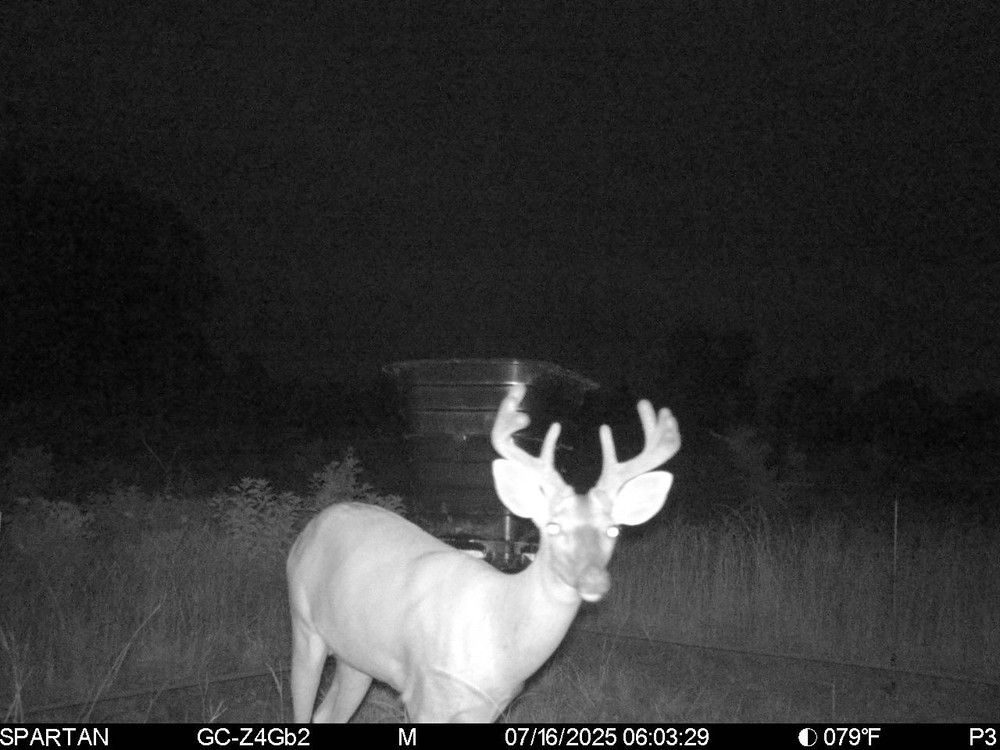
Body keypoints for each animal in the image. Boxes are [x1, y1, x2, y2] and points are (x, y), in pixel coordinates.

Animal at [286, 383, 680, 722]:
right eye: (552, 527)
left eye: (613, 530)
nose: (594, 580)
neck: (499, 635)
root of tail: (314, 524)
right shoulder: (424, 695)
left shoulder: (490, 706)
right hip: (304, 625)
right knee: (304, 709)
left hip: (357, 657)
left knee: (327, 714)